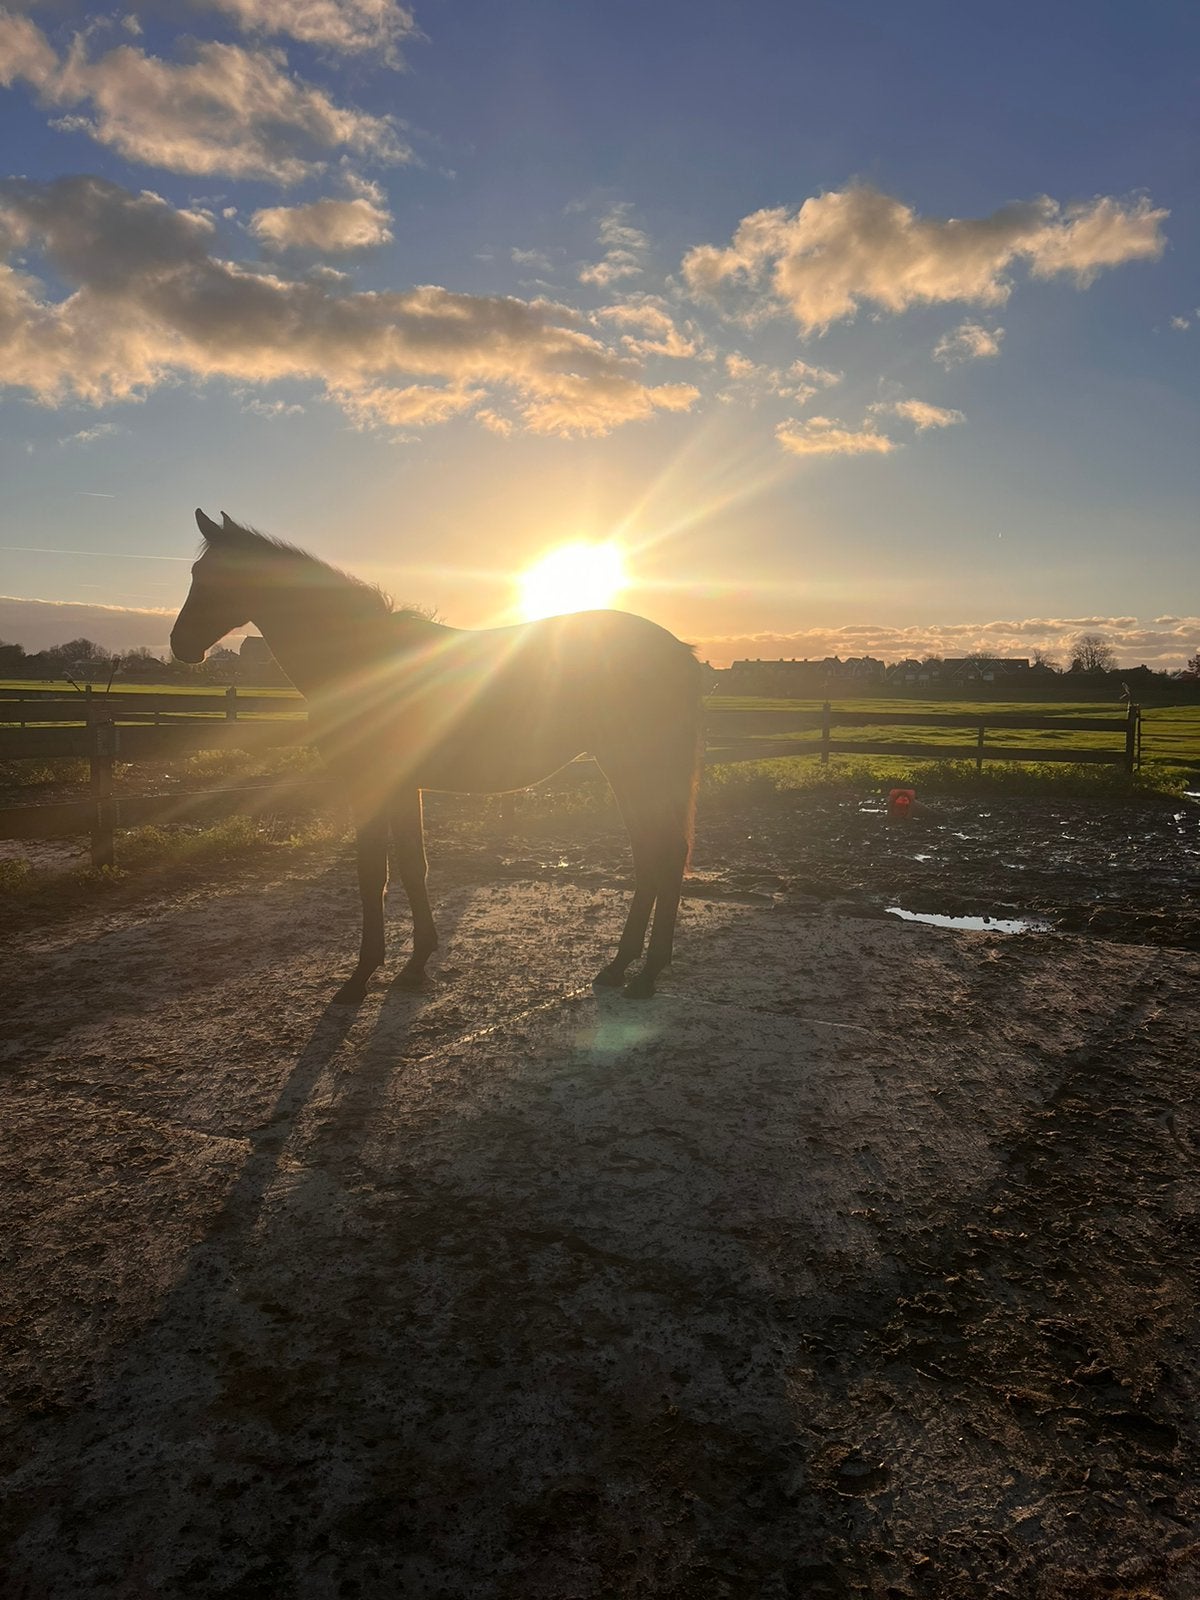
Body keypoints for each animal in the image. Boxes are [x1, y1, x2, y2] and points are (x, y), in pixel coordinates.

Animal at [171, 510, 704, 1002]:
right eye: (196, 572)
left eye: (215, 576)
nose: (180, 645)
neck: (363, 659)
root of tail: (679, 652)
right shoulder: (405, 786)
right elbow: (411, 866)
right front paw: (415, 963)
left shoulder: (373, 783)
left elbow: (374, 873)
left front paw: (363, 975)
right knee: (650, 854)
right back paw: (620, 966)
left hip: (635, 766)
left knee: (662, 852)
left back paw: (646, 974)